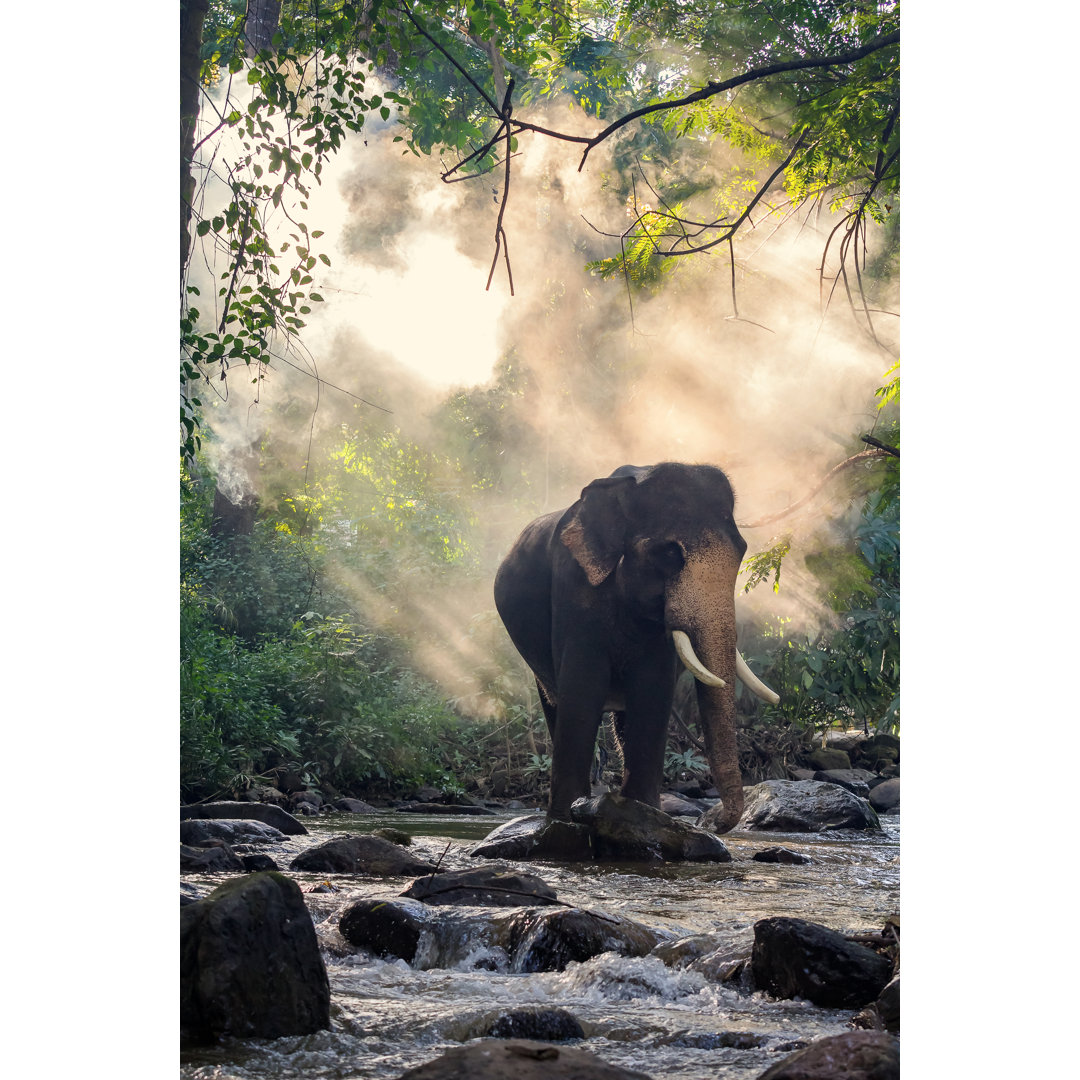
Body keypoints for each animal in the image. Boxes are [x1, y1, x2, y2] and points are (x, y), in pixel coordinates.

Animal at [494, 464, 781, 833]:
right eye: (670, 553)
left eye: (743, 549)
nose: (710, 821)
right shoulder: (573, 590)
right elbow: (582, 688)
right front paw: (565, 824)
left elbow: (652, 689)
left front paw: (643, 816)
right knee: (555, 702)